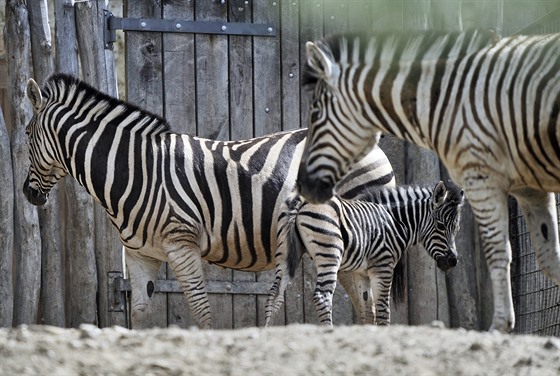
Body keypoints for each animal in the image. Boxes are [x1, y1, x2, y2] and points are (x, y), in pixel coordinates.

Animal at [24, 74, 396, 328]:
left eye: (26, 134)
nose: (28, 193)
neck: (134, 170)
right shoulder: (142, 255)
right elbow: (140, 316)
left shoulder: (181, 245)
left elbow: (202, 312)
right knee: (365, 305)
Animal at [266, 182, 464, 326]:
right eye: (440, 226)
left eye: (457, 228)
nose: (452, 261)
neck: (396, 222)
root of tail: (302, 200)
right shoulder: (383, 267)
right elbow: (383, 310)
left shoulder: (362, 273)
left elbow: (368, 309)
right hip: (330, 255)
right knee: (322, 296)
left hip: (285, 252)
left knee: (274, 293)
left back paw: (267, 332)